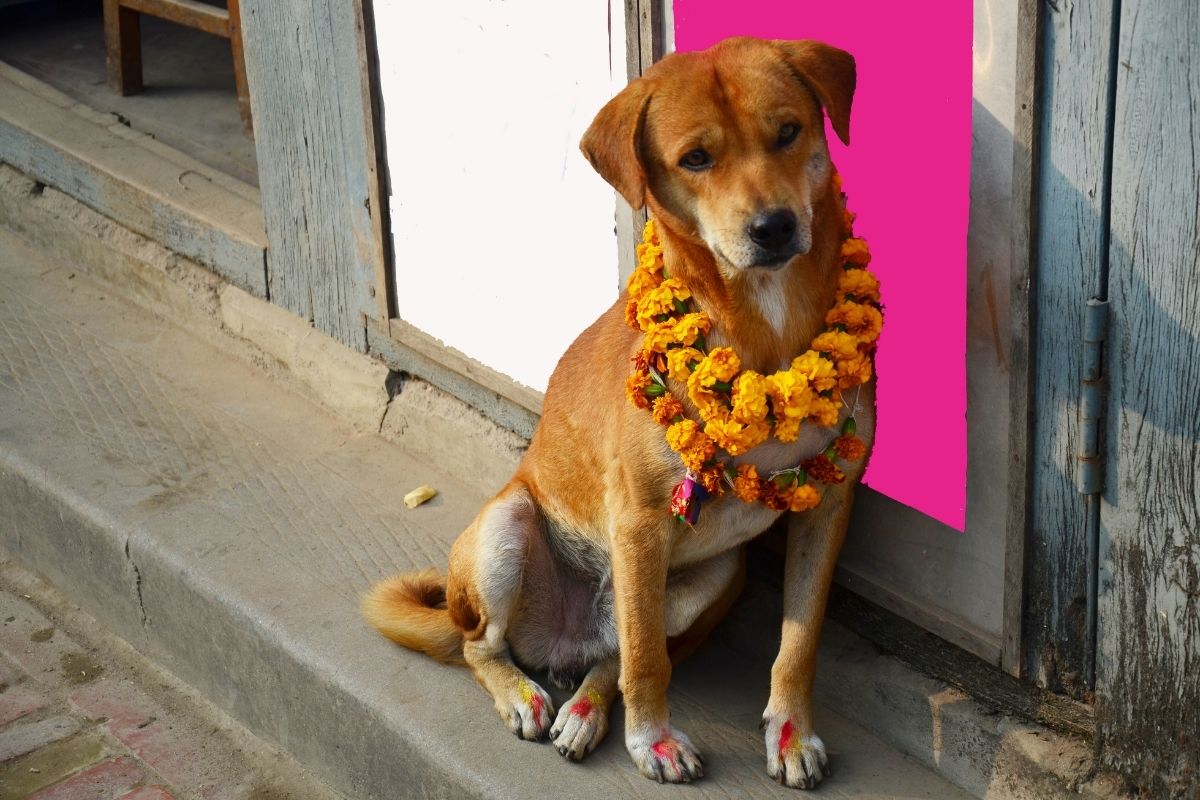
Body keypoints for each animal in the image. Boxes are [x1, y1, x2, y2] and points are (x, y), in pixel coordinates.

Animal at [360, 35, 878, 786]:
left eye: (789, 131)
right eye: (696, 158)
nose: (774, 227)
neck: (766, 327)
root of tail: (562, 638)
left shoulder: (829, 504)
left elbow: (798, 644)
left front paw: (790, 734)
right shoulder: (638, 521)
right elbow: (647, 661)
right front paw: (651, 740)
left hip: (712, 578)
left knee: (608, 656)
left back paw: (585, 707)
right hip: (505, 532)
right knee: (490, 647)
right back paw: (524, 694)